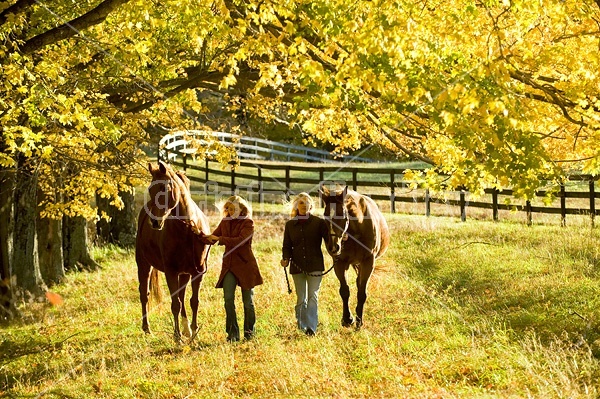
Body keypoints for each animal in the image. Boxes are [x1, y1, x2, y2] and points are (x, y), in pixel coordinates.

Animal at [136, 161, 211, 342]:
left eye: (165, 188)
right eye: (150, 189)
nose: (155, 222)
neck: (188, 230)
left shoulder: (198, 273)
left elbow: (193, 302)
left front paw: (194, 332)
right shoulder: (170, 272)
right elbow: (175, 304)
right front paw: (177, 337)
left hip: (184, 274)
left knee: (182, 297)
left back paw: (186, 329)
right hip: (143, 265)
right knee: (144, 294)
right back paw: (147, 328)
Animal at [322, 186, 392, 330]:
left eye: (342, 216)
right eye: (325, 216)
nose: (333, 247)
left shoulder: (368, 262)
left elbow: (361, 292)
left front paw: (359, 321)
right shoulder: (339, 263)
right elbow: (344, 291)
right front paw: (347, 319)